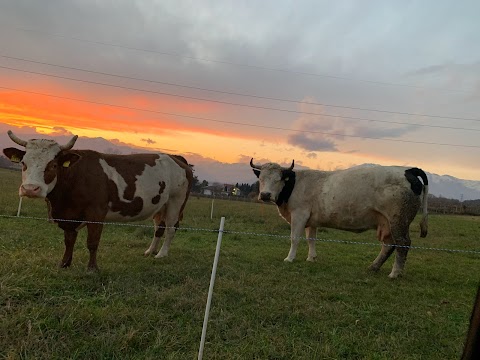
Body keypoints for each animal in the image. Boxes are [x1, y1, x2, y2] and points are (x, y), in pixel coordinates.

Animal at [3, 130, 193, 270]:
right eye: (23, 163)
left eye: (53, 165)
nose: (30, 189)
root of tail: (176, 157)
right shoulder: (70, 215)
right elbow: (69, 241)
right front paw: (64, 263)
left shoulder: (96, 213)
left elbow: (92, 242)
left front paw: (92, 268)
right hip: (160, 205)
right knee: (158, 229)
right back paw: (150, 251)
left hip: (176, 202)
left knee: (170, 228)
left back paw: (162, 254)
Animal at [249, 159, 430, 280]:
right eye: (261, 179)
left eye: (278, 179)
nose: (265, 195)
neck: (294, 185)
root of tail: (408, 170)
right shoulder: (311, 219)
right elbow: (311, 239)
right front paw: (311, 258)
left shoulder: (299, 214)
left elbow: (295, 238)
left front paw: (290, 258)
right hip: (386, 223)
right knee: (388, 245)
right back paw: (374, 267)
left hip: (398, 220)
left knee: (403, 244)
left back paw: (394, 273)